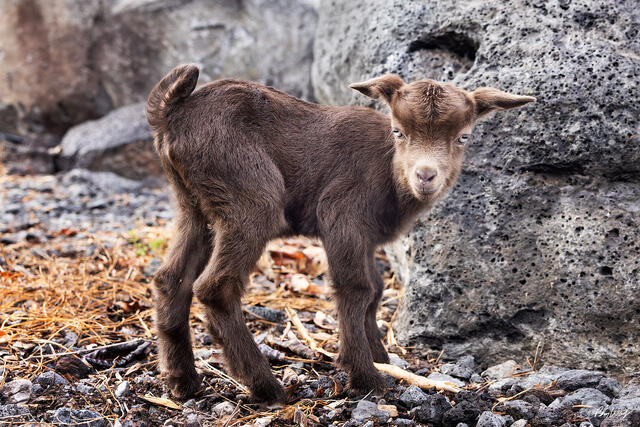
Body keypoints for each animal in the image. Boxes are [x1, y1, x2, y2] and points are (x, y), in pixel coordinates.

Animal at [146, 64, 535, 403]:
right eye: (399, 131)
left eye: (462, 137)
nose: (425, 176)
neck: (389, 171)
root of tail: (171, 114)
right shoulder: (342, 215)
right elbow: (356, 288)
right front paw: (365, 376)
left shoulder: (368, 239)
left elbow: (376, 290)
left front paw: (381, 356)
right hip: (250, 197)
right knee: (216, 287)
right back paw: (266, 386)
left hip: (193, 204)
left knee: (171, 279)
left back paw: (182, 382)